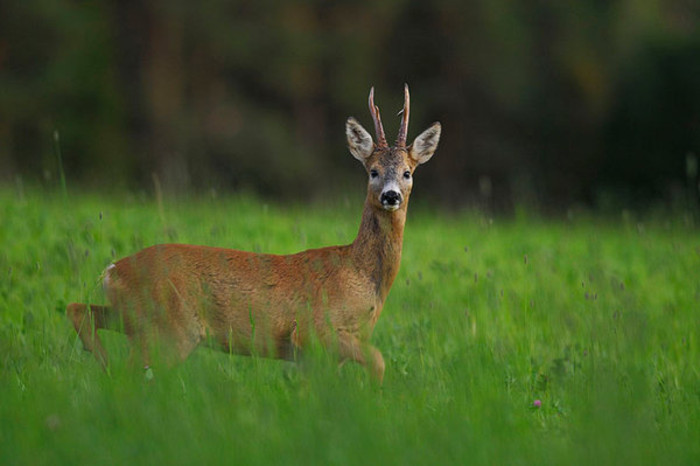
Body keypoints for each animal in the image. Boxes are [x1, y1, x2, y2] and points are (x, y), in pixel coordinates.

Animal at [64, 83, 438, 382]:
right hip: (170, 329)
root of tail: (112, 271)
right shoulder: (313, 330)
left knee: (78, 310)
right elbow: (378, 360)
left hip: (137, 318)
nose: (391, 195)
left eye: (407, 172)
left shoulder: (316, 356)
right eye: (372, 171)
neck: (361, 275)